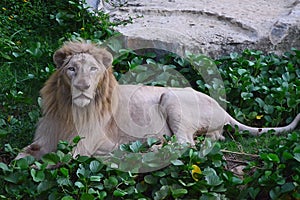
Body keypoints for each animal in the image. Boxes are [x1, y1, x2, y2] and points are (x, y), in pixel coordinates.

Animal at [15, 40, 300, 159]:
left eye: (93, 69)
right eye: (72, 69)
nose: (83, 87)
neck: (69, 110)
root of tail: (221, 106)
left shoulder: (87, 143)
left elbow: (61, 161)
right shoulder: (46, 137)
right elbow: (21, 156)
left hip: (171, 97)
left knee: (185, 142)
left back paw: (149, 149)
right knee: (208, 139)